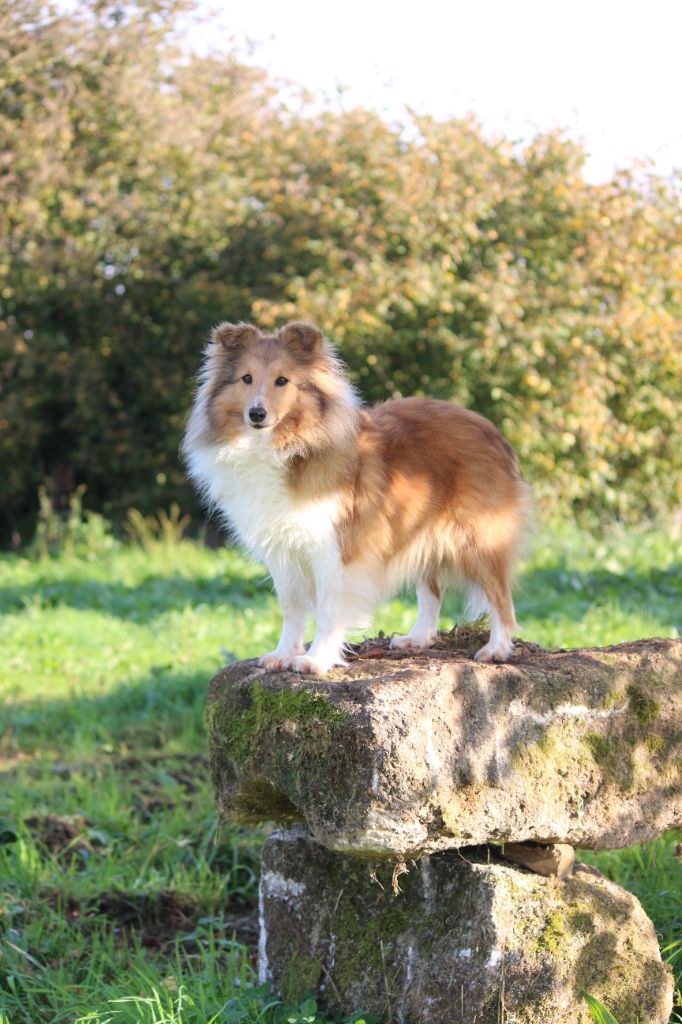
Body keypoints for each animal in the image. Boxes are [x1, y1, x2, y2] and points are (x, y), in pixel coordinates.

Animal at [183, 319, 528, 671]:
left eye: (282, 381)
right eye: (246, 378)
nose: (257, 414)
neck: (286, 447)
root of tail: (491, 430)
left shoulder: (334, 549)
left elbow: (328, 609)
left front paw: (316, 659)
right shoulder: (284, 550)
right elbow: (291, 607)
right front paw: (282, 654)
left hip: (477, 538)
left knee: (501, 596)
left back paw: (496, 649)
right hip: (420, 529)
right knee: (431, 591)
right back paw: (418, 638)